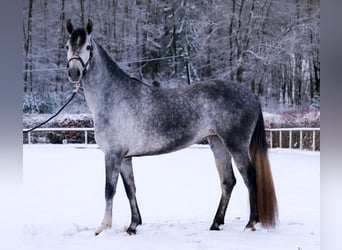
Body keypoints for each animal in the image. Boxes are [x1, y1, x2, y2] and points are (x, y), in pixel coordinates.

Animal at [65, 19, 276, 236]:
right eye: (67, 46)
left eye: (87, 47)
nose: (73, 72)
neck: (113, 97)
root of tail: (251, 96)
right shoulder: (125, 157)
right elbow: (130, 189)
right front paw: (133, 225)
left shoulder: (113, 155)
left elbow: (110, 189)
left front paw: (103, 227)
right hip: (218, 143)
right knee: (228, 181)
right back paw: (216, 223)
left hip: (236, 145)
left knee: (250, 177)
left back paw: (250, 224)